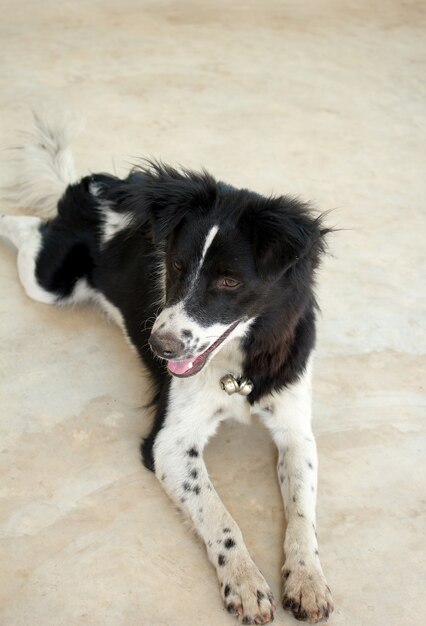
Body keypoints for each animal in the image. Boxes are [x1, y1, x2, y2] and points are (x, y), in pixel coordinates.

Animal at [0, 114, 332, 620]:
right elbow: (220, 515)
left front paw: (308, 579)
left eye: (230, 281)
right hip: (48, 282)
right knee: (22, 226)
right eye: (174, 266)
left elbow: (302, 512)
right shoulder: (170, 444)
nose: (158, 346)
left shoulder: (296, 430)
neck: (238, 371)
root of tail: (99, 184)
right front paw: (245, 582)